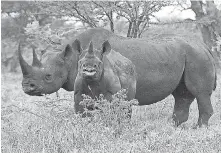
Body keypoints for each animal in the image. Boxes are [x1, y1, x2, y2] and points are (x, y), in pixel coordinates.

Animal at [19, 28, 216, 127]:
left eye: (48, 76)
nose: (27, 87)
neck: (70, 57)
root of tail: (205, 46)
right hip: (187, 55)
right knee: (182, 94)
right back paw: (172, 127)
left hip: (197, 56)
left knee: (200, 93)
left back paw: (199, 129)